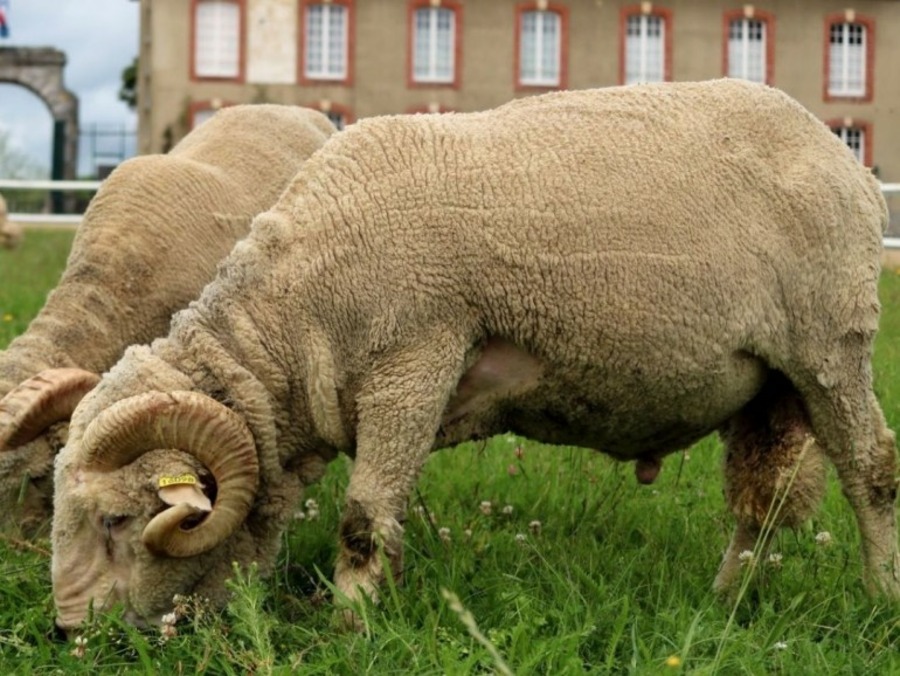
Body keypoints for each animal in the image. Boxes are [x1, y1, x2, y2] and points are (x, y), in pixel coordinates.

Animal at [51, 80, 900, 632]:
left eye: (118, 519)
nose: (67, 633)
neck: (295, 321)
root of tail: (840, 153)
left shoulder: (414, 360)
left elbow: (363, 517)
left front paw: (352, 626)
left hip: (832, 340)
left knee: (872, 472)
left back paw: (881, 597)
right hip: (770, 378)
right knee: (763, 503)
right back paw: (726, 605)